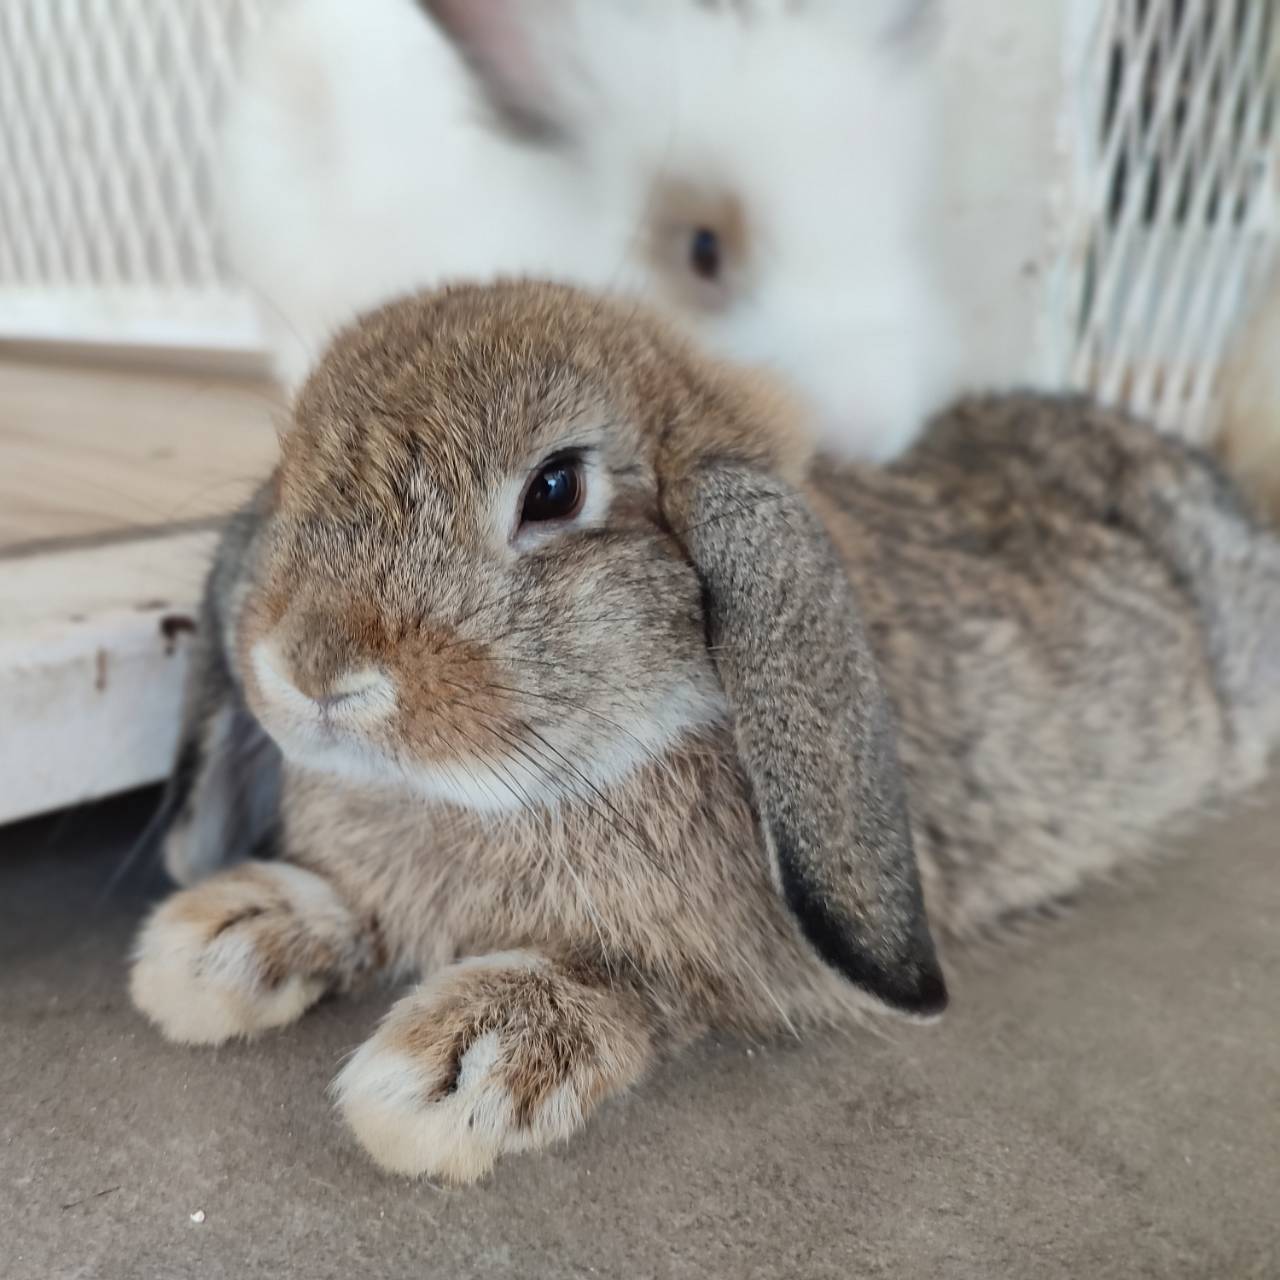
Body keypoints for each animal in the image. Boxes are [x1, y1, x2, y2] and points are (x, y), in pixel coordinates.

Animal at [132, 280, 1280, 1184]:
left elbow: (630, 987)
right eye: (291, 468)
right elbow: (344, 905)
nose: (312, 667)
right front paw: (220, 938)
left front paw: (449, 1065)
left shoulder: (720, 963)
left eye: (556, 488)